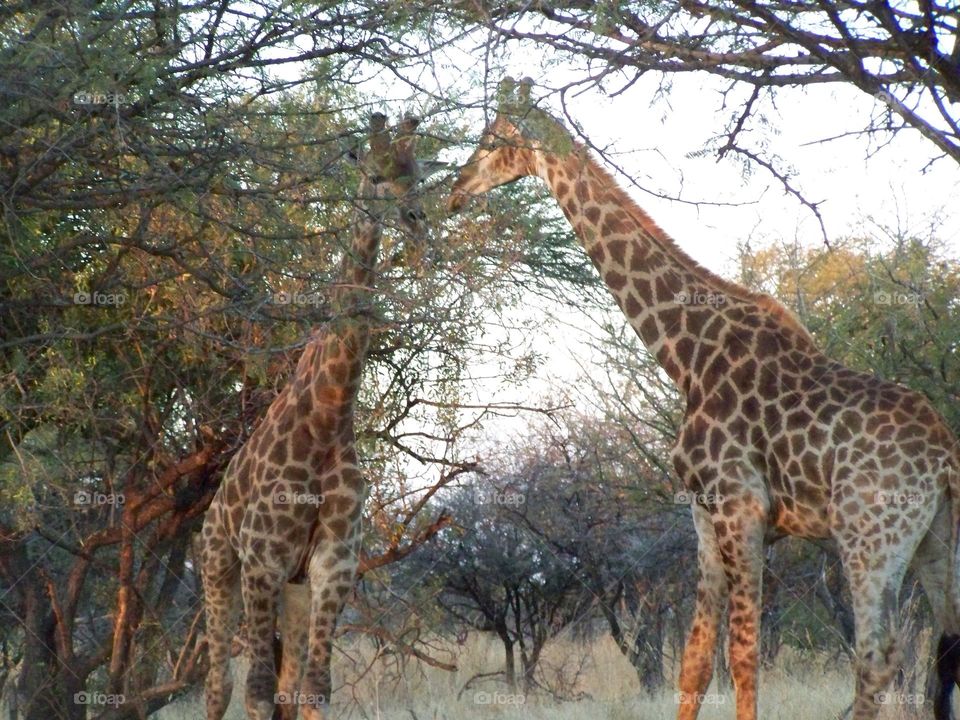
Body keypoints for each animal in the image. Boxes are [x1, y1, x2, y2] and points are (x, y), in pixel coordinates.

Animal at [201, 112, 437, 720]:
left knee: (284, 683)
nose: (415, 220)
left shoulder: (333, 564)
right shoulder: (262, 560)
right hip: (218, 564)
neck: (329, 414)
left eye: (417, 174)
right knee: (218, 685)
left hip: (294, 586)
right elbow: (257, 691)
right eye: (375, 174)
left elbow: (312, 688)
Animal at [447, 77, 960, 720]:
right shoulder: (703, 514)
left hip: (870, 536)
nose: (455, 189)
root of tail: (944, 457)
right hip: (936, 536)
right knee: (943, 648)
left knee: (876, 654)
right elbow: (694, 661)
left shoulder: (738, 506)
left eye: (493, 137)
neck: (686, 356)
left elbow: (742, 658)